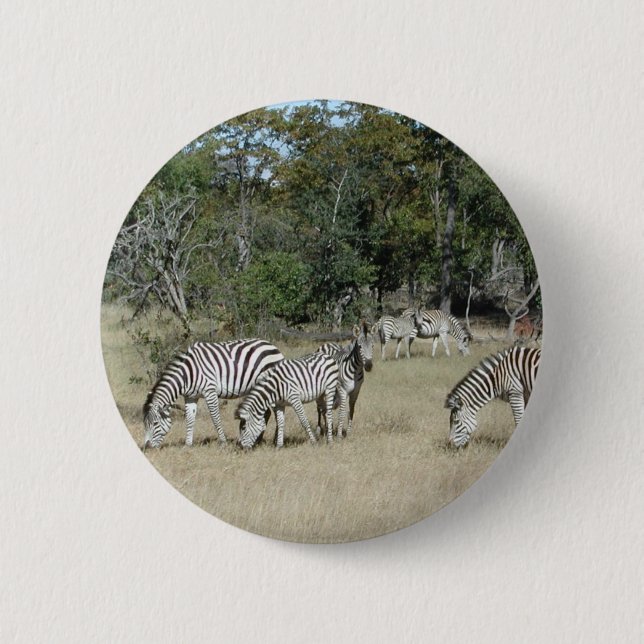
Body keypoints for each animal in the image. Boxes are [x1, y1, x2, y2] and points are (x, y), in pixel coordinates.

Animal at [142, 339, 284, 449]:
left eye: (155, 424)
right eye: (145, 424)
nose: (147, 447)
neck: (187, 374)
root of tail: (272, 345)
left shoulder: (210, 391)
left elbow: (215, 418)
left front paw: (223, 442)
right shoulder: (190, 397)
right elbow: (189, 419)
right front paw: (187, 445)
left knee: (277, 413)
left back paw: (276, 442)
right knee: (267, 412)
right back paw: (259, 440)